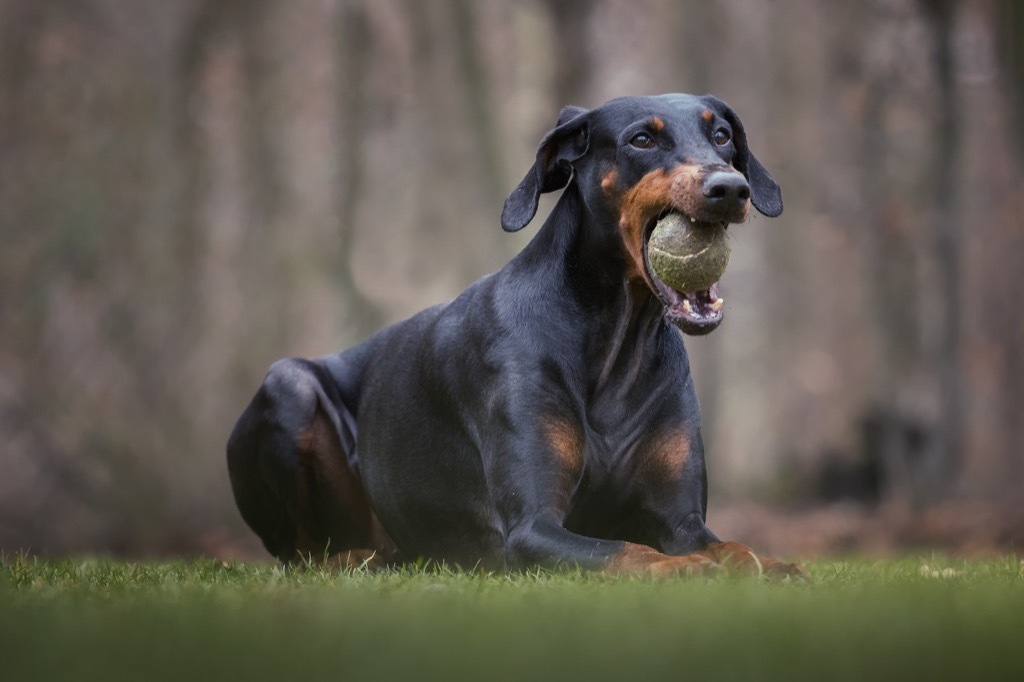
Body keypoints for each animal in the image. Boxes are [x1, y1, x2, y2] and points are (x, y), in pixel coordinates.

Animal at [228, 93, 802, 577]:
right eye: (642, 139)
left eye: (722, 135)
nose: (730, 188)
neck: (617, 343)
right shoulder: (533, 528)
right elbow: (629, 551)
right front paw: (688, 569)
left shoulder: (682, 520)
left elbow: (732, 546)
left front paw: (772, 565)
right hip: (288, 386)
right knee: (298, 553)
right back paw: (349, 557)